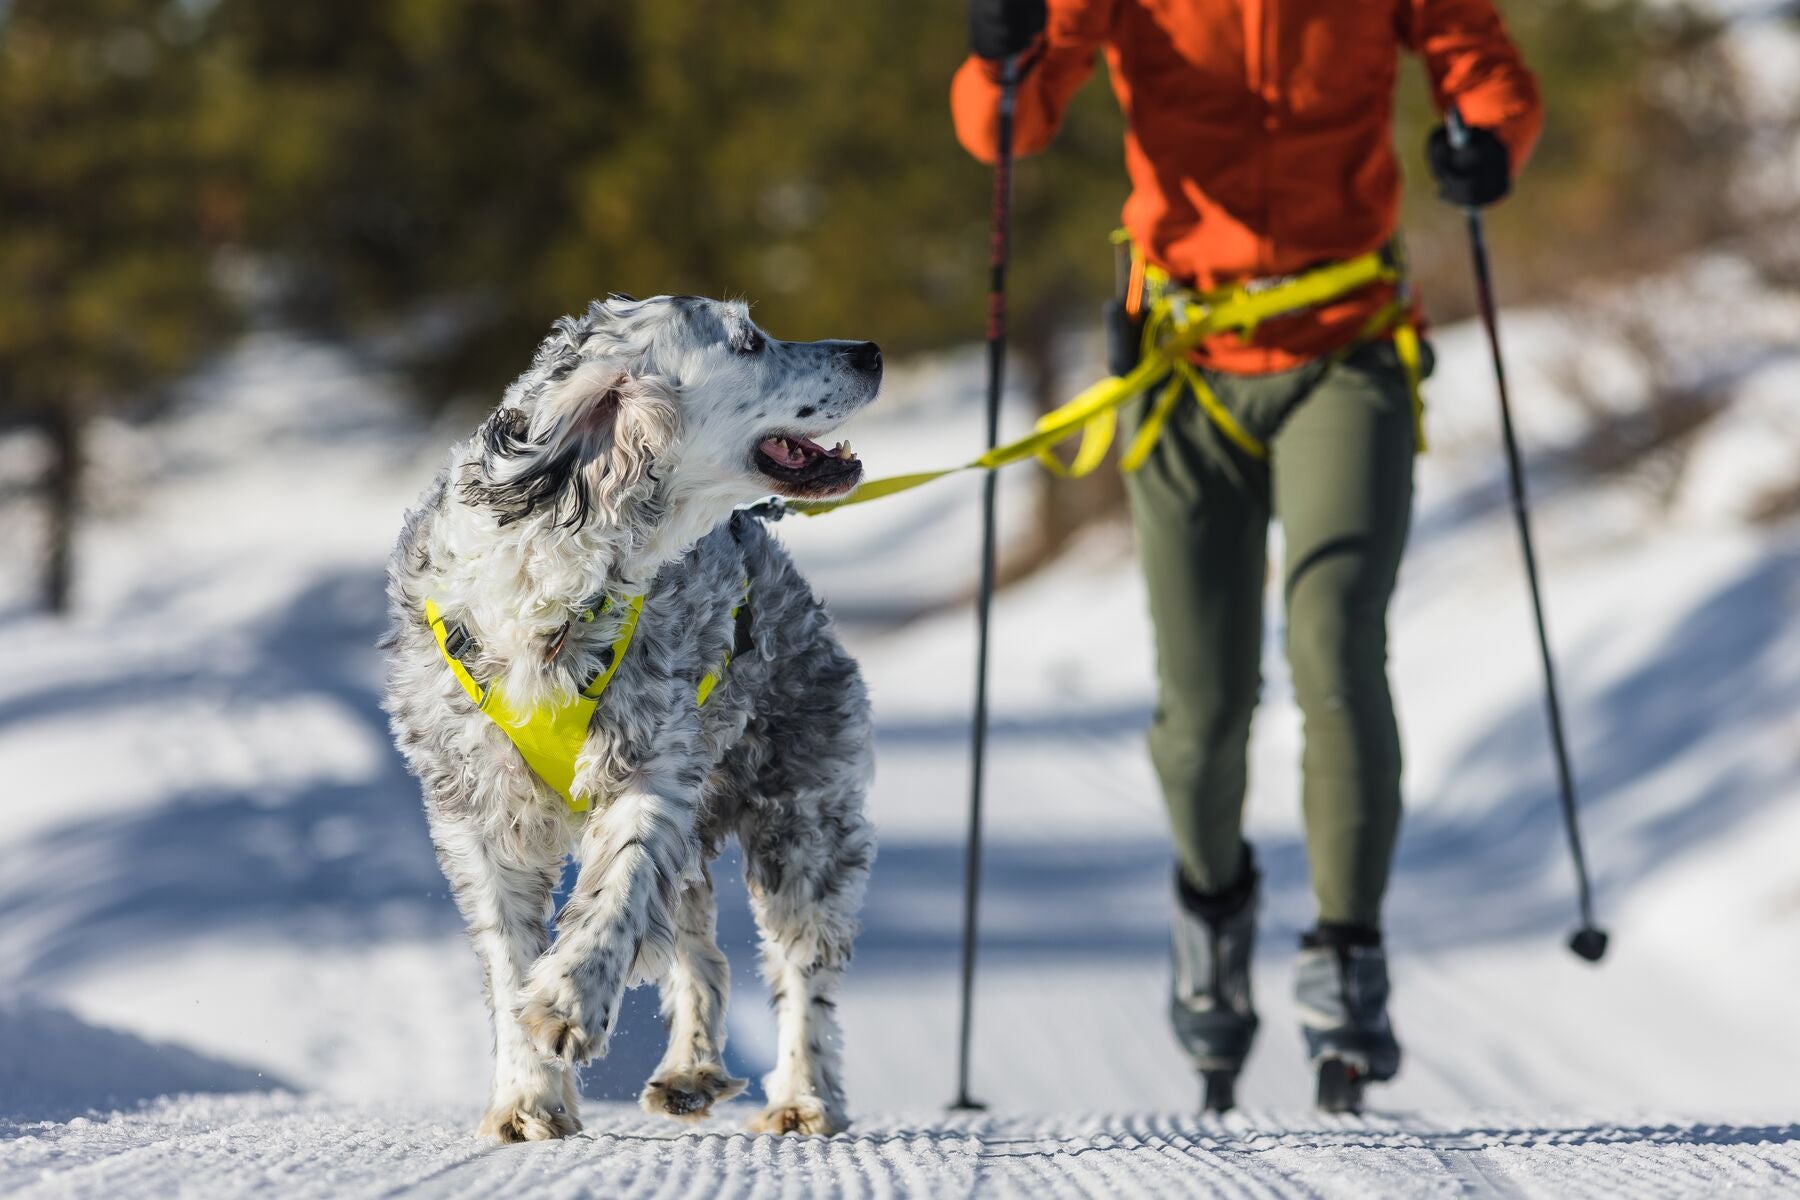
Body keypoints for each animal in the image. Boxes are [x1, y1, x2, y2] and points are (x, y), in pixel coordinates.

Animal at [383, 295, 882, 1144]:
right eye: (749, 342)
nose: (871, 351)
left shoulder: (652, 769)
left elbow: (614, 892)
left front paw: (568, 1001)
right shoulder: (475, 814)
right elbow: (509, 959)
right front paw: (527, 1099)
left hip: (804, 821)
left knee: (800, 974)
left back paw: (803, 1097)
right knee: (704, 958)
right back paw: (689, 1072)